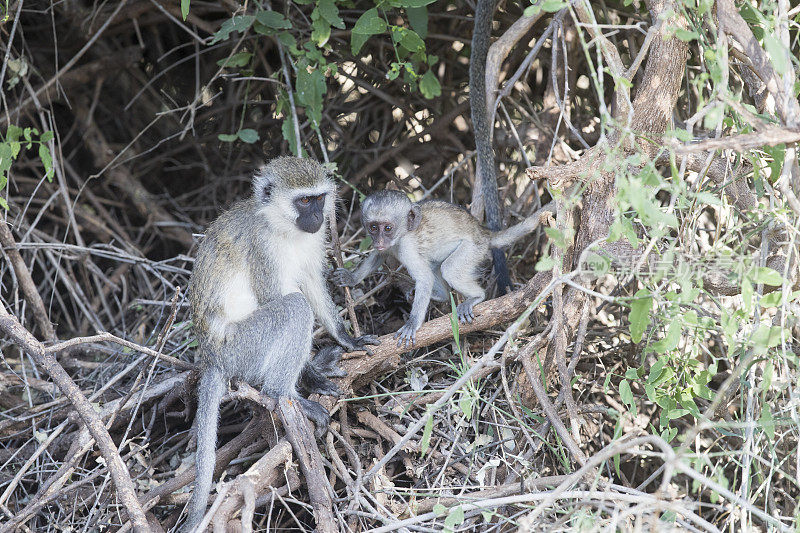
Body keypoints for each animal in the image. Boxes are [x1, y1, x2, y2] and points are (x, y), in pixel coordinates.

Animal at [184, 156, 378, 528]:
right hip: (243, 346)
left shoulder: (314, 240)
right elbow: (279, 297)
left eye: (318, 199)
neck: (283, 228)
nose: (316, 217)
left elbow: (313, 282)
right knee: (294, 308)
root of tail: (212, 356)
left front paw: (345, 337)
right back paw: (285, 394)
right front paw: (312, 377)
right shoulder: (262, 246)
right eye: (303, 201)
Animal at [332, 189, 556, 348]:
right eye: (373, 227)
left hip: (473, 249)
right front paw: (351, 278)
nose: (379, 241)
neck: (403, 234)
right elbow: (380, 256)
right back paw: (441, 295)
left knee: (448, 269)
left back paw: (476, 296)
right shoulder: (390, 247)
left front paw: (413, 323)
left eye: (387, 228)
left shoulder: (407, 247)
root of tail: (483, 233)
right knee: (436, 267)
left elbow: (423, 278)